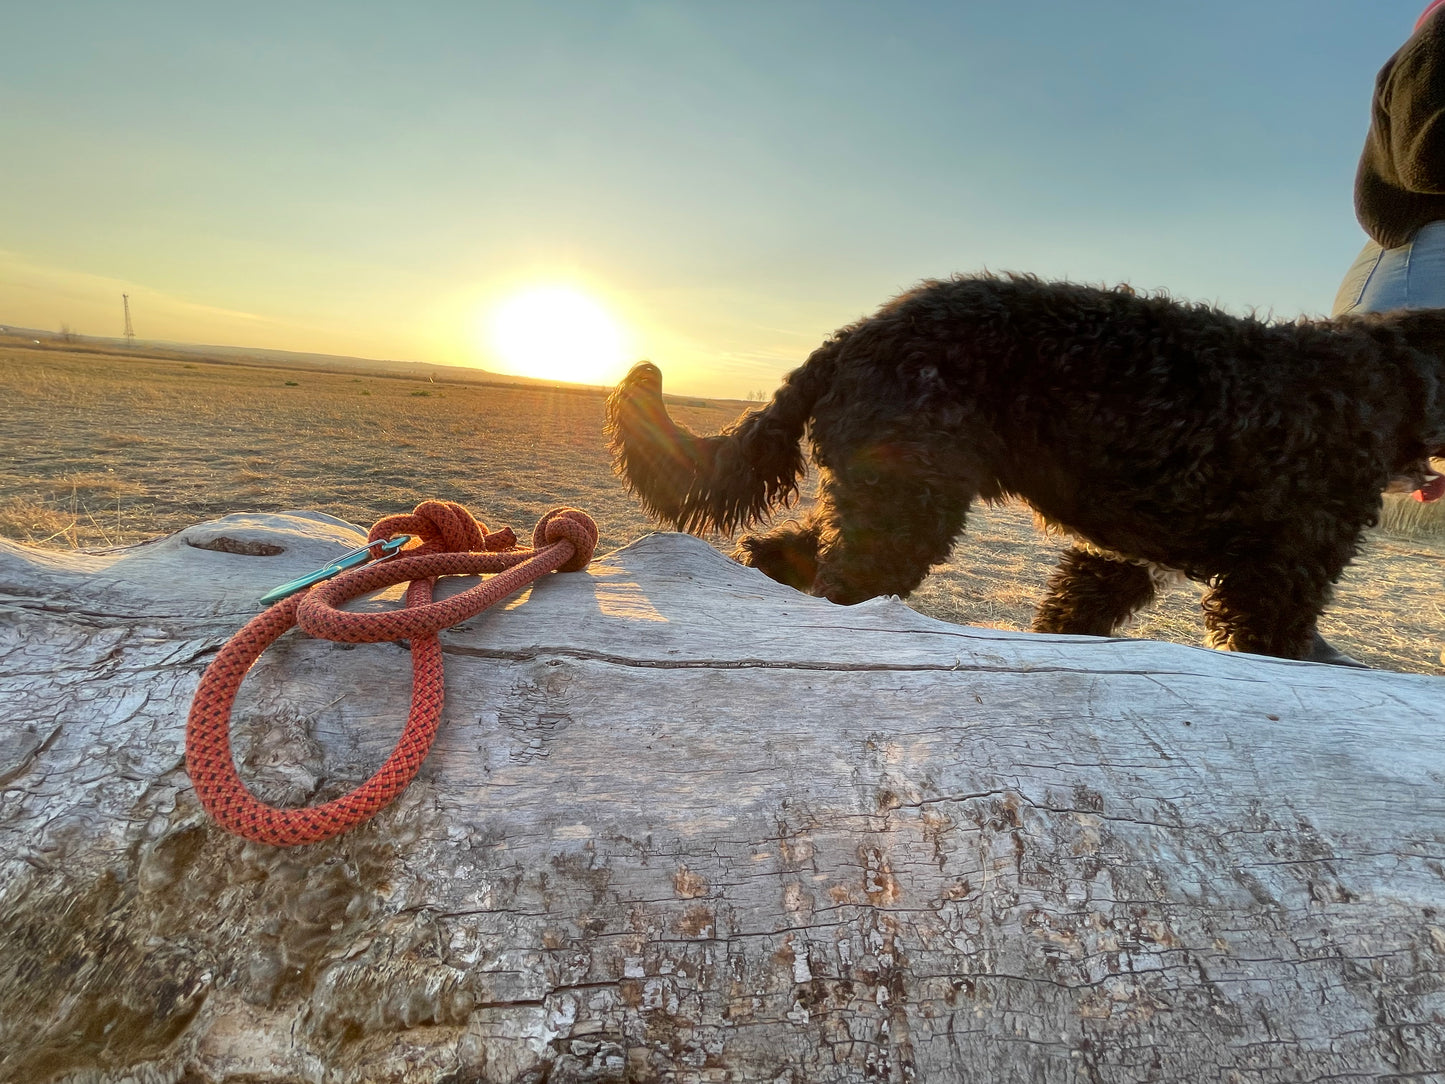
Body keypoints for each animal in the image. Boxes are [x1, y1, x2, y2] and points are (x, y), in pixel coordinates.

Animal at [606, 273, 1445, 661]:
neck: (1389, 378)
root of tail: (854, 334)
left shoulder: (1113, 561)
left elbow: (1069, 619)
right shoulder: (1277, 582)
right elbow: (1274, 649)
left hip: (884, 492)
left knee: (782, 553)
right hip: (904, 508)